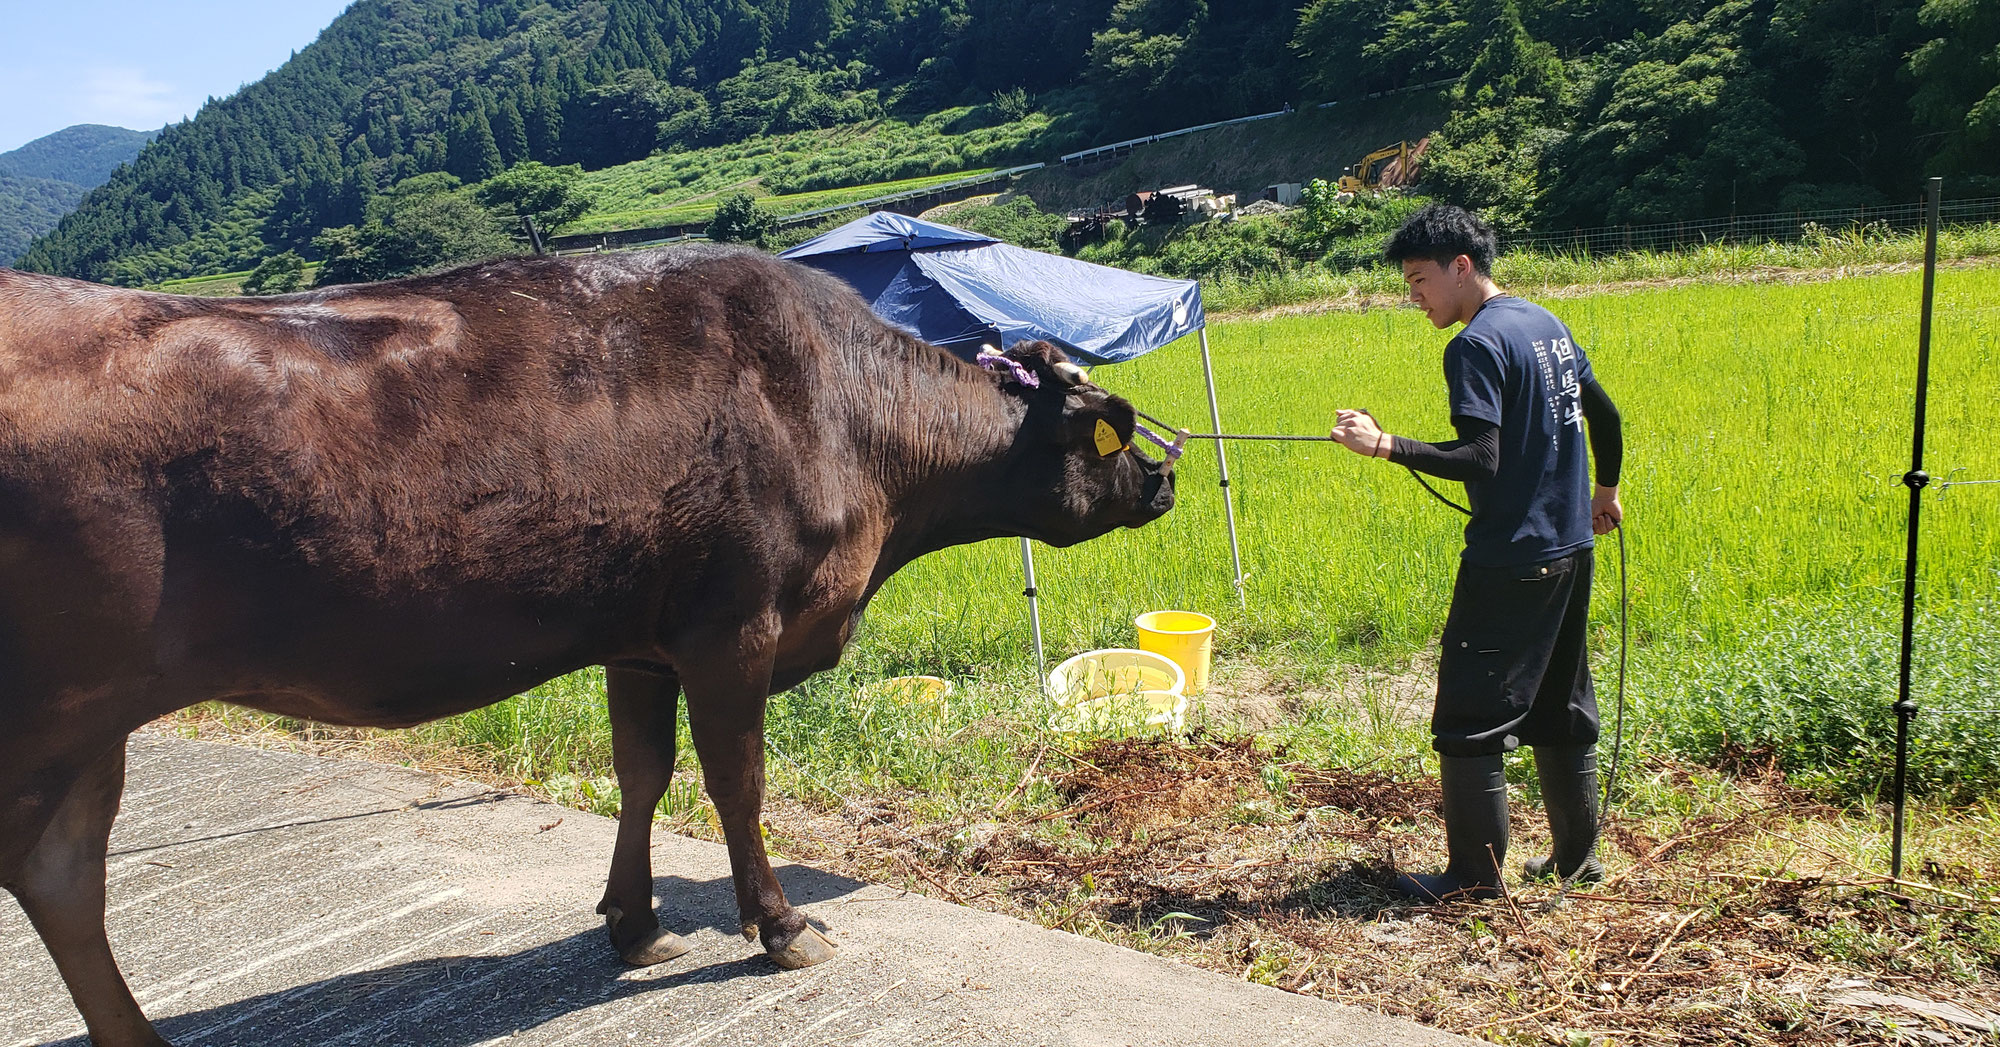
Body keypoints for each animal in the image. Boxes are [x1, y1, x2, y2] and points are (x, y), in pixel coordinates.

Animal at [0, 241, 1176, 1039]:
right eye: (1110, 427)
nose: (1166, 476)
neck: (846, 418)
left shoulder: (639, 640)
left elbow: (641, 774)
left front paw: (632, 919)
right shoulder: (731, 629)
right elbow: (735, 783)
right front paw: (780, 925)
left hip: (82, 728)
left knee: (61, 878)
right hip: (53, 719)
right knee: (55, 874)